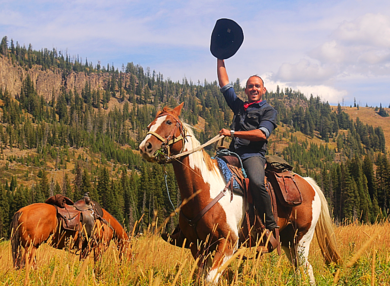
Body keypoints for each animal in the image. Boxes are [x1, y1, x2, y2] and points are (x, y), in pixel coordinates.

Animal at [140, 103, 342, 284]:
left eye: (169, 122)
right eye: (149, 125)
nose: (145, 147)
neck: (203, 190)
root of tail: (308, 182)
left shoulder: (228, 242)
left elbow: (211, 279)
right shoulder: (197, 245)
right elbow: (200, 278)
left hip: (301, 238)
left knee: (306, 268)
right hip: (287, 240)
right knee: (298, 269)